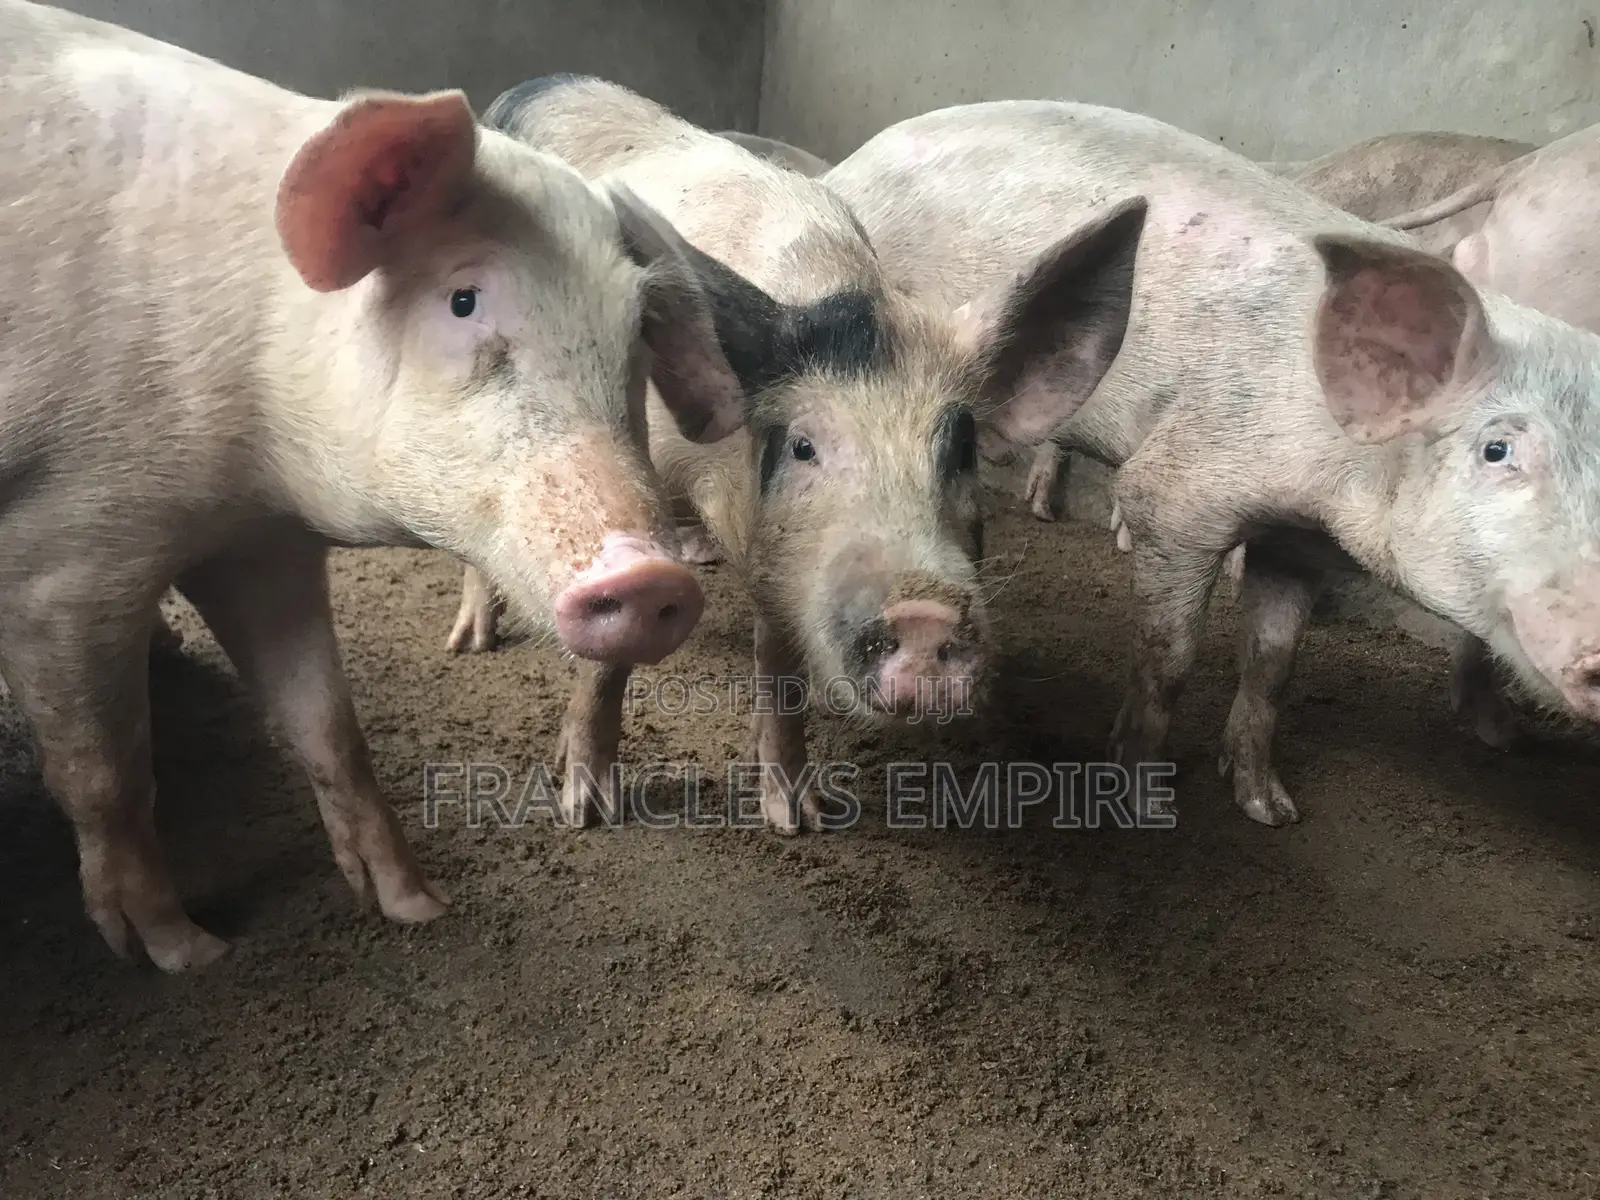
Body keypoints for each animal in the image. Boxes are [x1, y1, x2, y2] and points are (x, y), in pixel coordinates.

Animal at [0, 0, 778, 970]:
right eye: (463, 300)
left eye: (637, 329)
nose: (651, 574)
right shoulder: (63, 555)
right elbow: (107, 775)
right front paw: (190, 955)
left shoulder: (259, 546)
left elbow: (328, 725)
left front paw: (416, 906)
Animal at [443, 75, 1147, 834]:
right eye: (804, 446)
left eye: (958, 450)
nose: (922, 612)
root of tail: (532, 84)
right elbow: (609, 651)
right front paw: (588, 812)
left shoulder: (783, 562)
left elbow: (780, 672)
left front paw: (800, 819)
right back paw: (471, 643)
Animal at [822, 99, 1600, 827]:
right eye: (1498, 449)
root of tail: (853, 164)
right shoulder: (1179, 493)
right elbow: (1169, 657)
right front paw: (1142, 803)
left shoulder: (1300, 540)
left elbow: (1274, 665)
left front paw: (1271, 810)